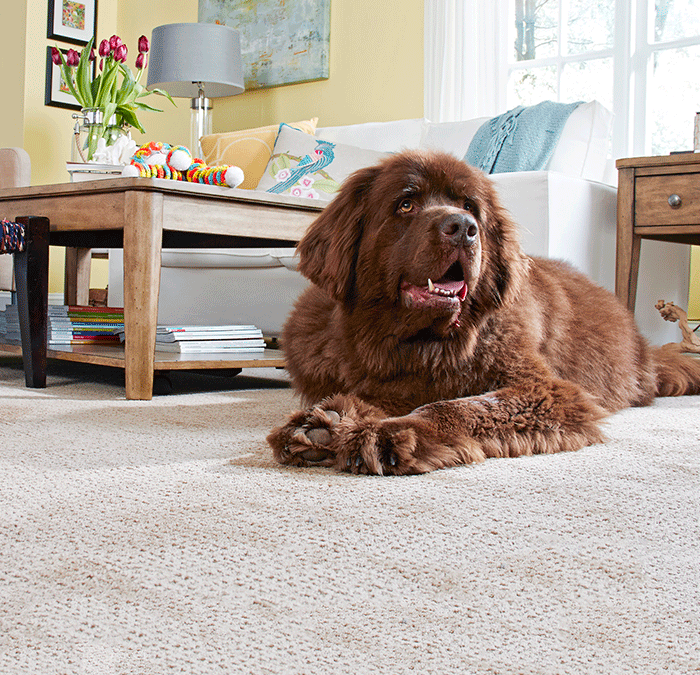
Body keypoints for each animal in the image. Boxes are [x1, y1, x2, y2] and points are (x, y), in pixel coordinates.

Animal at [266, 151, 696, 478]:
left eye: (470, 206)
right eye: (406, 203)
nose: (462, 226)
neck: (420, 344)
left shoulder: (546, 392)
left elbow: (459, 405)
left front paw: (394, 432)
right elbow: (371, 396)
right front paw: (326, 422)